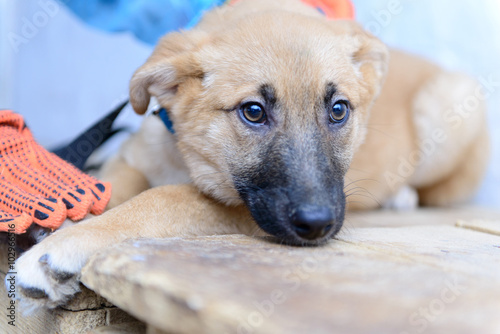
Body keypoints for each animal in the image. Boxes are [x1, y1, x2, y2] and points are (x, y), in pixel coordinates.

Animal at [11, 0, 488, 310]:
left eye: (338, 110)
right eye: (254, 112)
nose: (317, 225)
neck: (188, 156)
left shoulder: (241, 206)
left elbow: (163, 198)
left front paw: (62, 248)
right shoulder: (134, 157)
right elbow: (110, 184)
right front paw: (75, 213)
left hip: (450, 108)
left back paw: (401, 196)